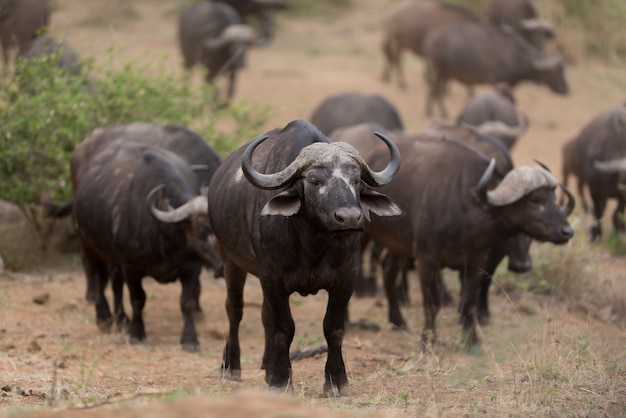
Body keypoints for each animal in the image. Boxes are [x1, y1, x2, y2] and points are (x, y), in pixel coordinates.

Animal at [72, 142, 219, 352]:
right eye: (202, 230)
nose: (223, 266)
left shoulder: (192, 267)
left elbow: (187, 302)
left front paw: (190, 339)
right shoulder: (131, 267)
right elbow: (138, 299)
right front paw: (137, 333)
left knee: (115, 284)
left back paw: (122, 320)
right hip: (90, 247)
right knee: (98, 278)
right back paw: (104, 318)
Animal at [205, 120, 400, 396]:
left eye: (356, 180)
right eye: (315, 180)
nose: (350, 218)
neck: (312, 245)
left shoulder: (347, 277)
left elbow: (333, 327)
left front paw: (336, 380)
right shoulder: (272, 277)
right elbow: (284, 328)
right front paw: (280, 379)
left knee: (264, 315)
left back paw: (268, 366)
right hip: (230, 260)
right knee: (234, 310)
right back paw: (231, 367)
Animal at [364, 139, 572, 352]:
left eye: (554, 198)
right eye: (536, 199)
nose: (567, 231)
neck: (466, 208)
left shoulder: (476, 262)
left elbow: (469, 302)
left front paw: (472, 342)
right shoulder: (427, 259)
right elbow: (432, 303)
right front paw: (428, 341)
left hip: (398, 245)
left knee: (389, 272)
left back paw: (398, 321)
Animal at [424, 22, 564, 118]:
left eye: (562, 71)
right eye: (555, 73)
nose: (565, 89)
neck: (514, 55)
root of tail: (431, 38)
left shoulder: (509, 84)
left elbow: (513, 101)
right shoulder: (496, 82)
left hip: (444, 73)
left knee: (434, 87)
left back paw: (430, 110)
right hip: (439, 71)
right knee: (435, 88)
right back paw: (441, 112)